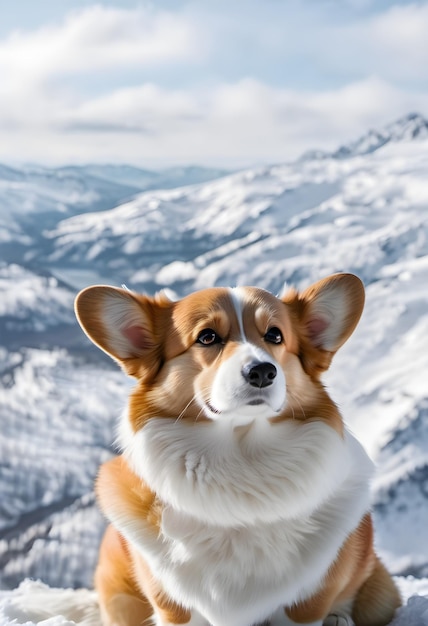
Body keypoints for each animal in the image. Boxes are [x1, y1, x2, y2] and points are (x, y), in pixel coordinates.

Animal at [75, 272, 400, 624]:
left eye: (274, 335)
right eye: (207, 337)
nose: (262, 372)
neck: (241, 459)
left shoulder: (306, 604)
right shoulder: (172, 607)